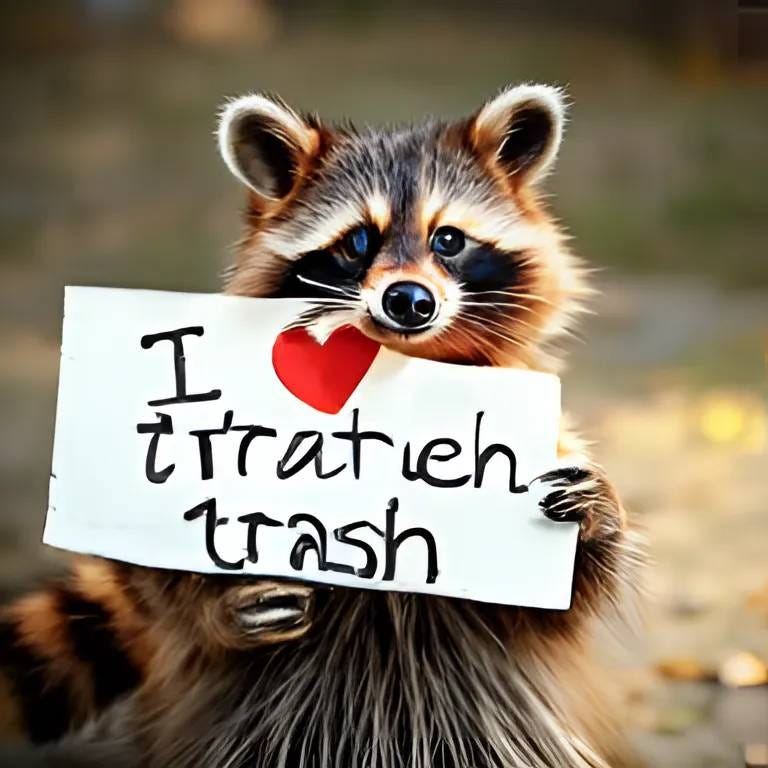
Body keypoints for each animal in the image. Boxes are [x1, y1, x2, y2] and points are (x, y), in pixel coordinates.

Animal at [0, 85, 644, 768]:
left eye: (448, 239)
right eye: (358, 242)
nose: (409, 301)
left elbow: (565, 605)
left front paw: (599, 517)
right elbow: (163, 581)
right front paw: (221, 603)